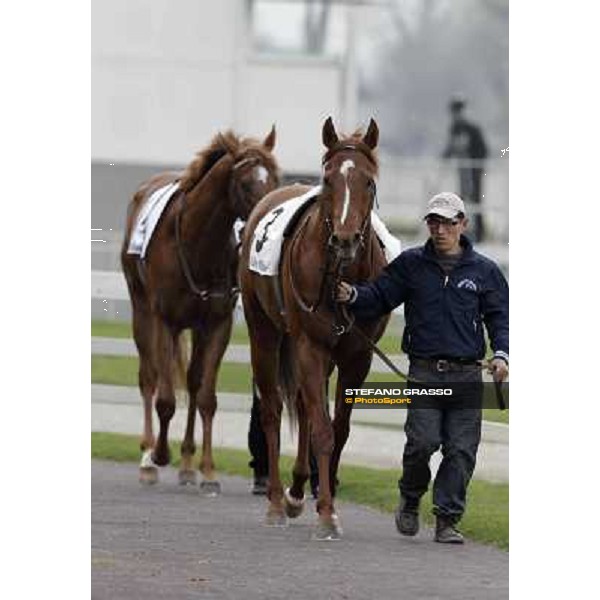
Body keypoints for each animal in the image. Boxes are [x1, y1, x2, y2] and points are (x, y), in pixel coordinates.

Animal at [122, 126, 282, 492]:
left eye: (275, 179)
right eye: (245, 183)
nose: (265, 217)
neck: (197, 243)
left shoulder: (217, 323)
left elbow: (206, 396)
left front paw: (207, 470)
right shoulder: (165, 321)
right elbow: (165, 399)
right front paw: (159, 455)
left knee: (194, 382)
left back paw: (187, 464)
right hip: (142, 310)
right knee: (149, 377)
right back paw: (147, 458)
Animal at [239, 118, 390, 540]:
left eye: (368, 181)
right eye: (327, 179)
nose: (344, 239)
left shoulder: (356, 355)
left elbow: (339, 428)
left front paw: (328, 498)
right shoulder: (309, 345)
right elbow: (323, 429)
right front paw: (325, 515)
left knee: (305, 406)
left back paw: (295, 491)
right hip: (265, 333)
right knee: (273, 410)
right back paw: (276, 501)